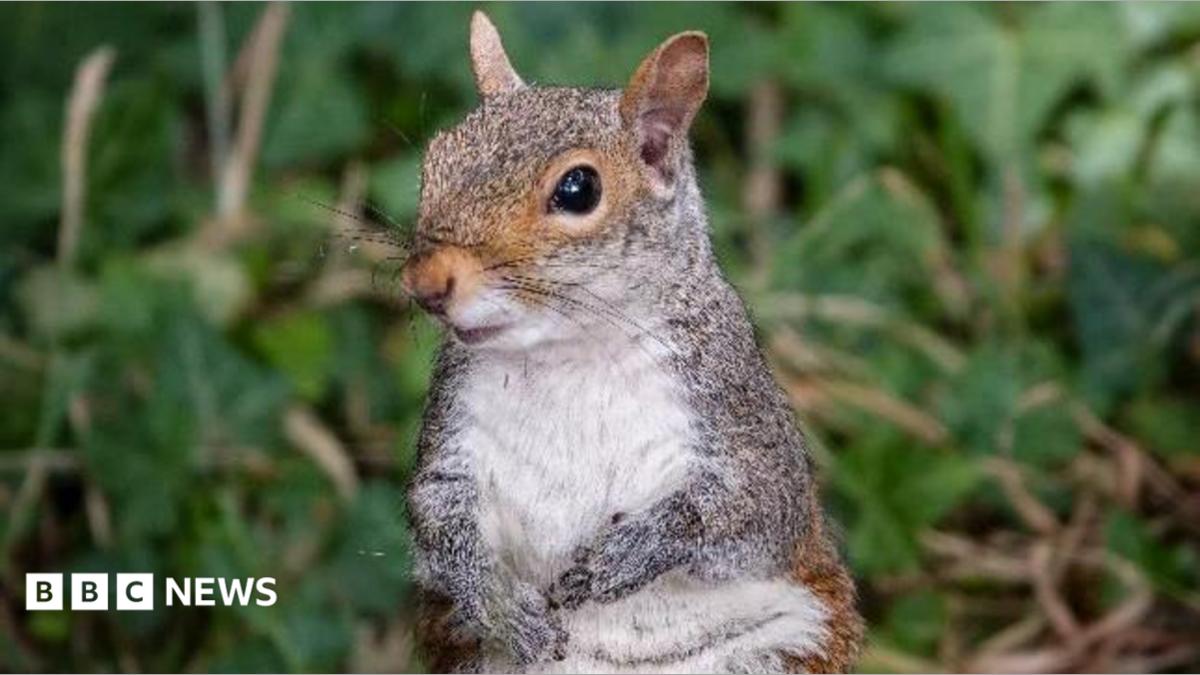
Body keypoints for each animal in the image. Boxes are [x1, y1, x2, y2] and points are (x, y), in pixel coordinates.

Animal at [402, 11, 862, 674]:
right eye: (435, 158)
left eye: (578, 189)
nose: (425, 283)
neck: (568, 352)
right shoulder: (452, 427)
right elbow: (440, 524)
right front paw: (505, 608)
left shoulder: (733, 404)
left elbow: (752, 510)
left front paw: (628, 554)